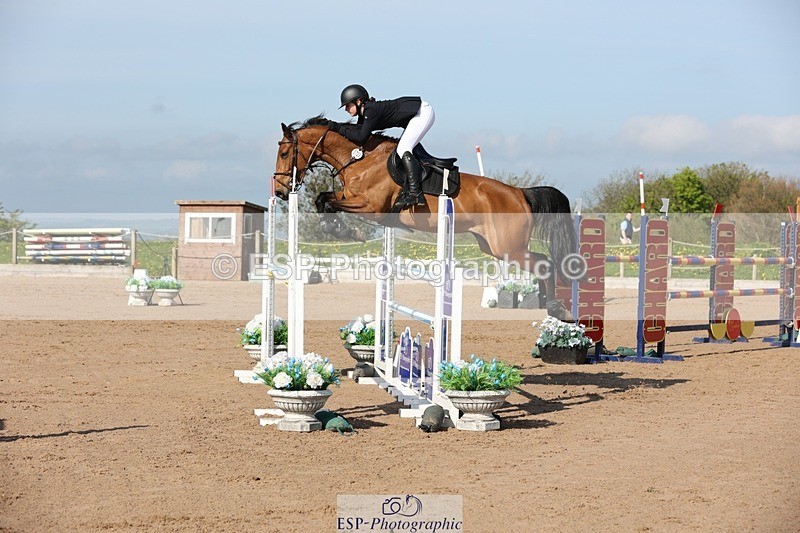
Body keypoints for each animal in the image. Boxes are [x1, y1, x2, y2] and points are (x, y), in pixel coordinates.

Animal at [272, 117, 578, 320]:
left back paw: (556, 307)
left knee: (545, 263)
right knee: (541, 263)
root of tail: (520, 193)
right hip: (493, 247)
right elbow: (323, 200)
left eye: (285, 152)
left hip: (508, 247)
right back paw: (546, 302)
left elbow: (327, 202)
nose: (280, 191)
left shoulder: (371, 206)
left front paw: (348, 233)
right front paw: (340, 230)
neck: (360, 159)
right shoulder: (353, 199)